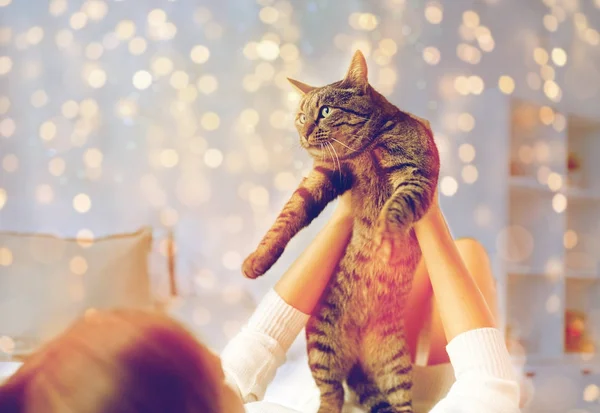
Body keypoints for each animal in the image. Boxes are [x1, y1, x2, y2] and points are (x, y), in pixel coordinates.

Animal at [243, 51, 440, 412]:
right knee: (331, 394)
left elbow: (397, 206)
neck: (367, 149)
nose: (305, 132)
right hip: (323, 345)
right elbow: (286, 217)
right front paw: (257, 260)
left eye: (324, 111)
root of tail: (359, 361)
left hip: (396, 367)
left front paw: (387, 236)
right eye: (301, 116)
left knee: (400, 404)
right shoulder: (323, 176)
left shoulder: (415, 174)